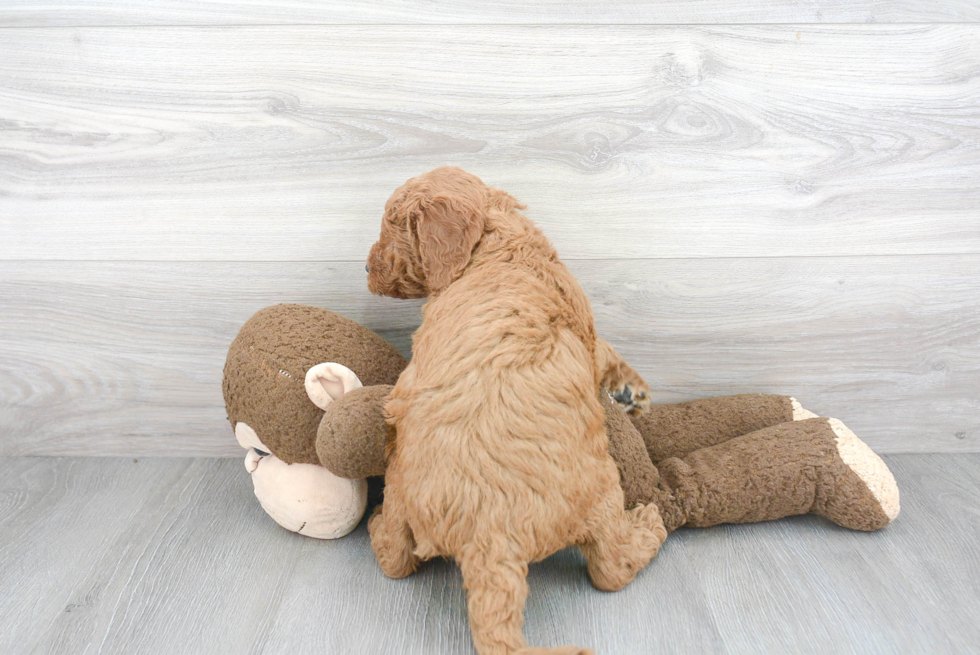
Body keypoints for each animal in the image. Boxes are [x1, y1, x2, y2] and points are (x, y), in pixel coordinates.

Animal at [366, 167, 668, 652]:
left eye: (391, 226)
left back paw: (377, 527)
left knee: (394, 557)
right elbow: (603, 351)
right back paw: (648, 524)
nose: (366, 268)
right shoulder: (582, 326)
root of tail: (487, 539)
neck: (495, 244)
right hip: (603, 488)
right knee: (611, 568)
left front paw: (630, 392)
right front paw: (631, 389)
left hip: (397, 477)